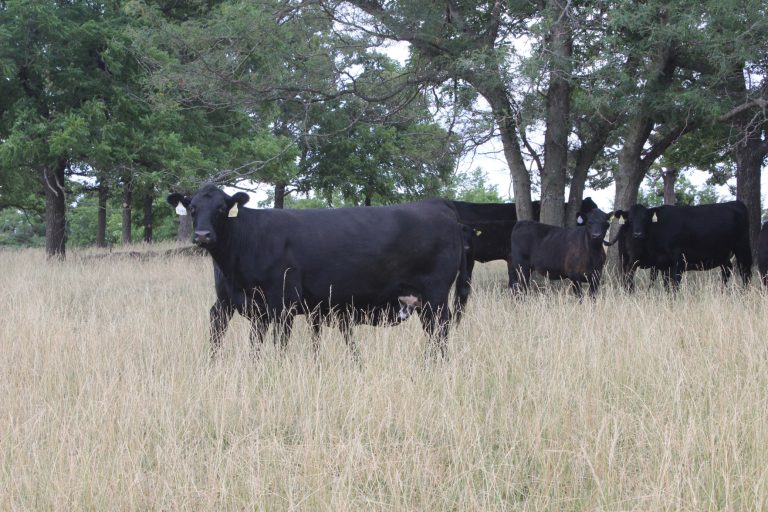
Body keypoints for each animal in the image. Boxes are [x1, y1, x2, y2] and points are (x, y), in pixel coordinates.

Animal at [167, 185, 470, 359]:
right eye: (192, 208)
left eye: (221, 208)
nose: (202, 235)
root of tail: (438, 203)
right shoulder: (227, 303)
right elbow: (233, 341)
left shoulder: (283, 304)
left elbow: (279, 345)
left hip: (435, 296)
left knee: (440, 332)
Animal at [607, 202, 752, 291]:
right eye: (630, 219)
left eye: (645, 218)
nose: (637, 234)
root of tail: (736, 203)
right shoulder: (662, 265)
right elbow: (667, 286)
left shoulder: (677, 262)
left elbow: (674, 286)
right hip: (723, 254)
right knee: (727, 270)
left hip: (742, 247)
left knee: (745, 272)